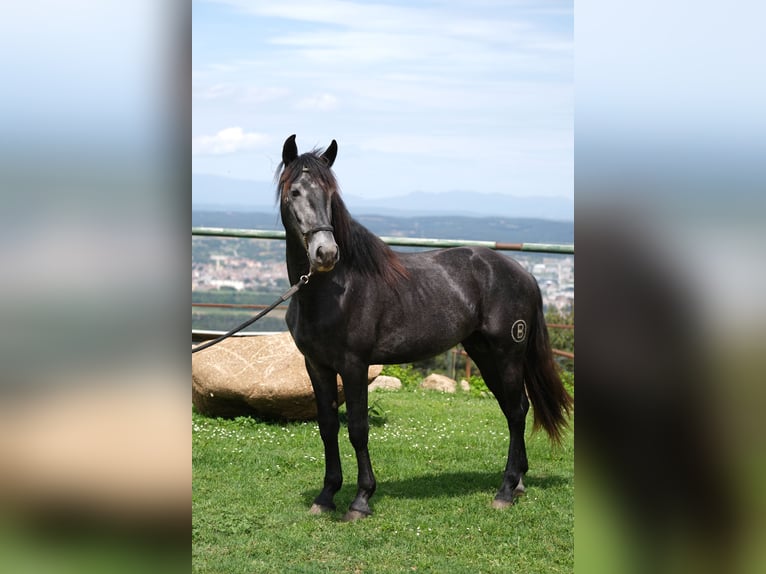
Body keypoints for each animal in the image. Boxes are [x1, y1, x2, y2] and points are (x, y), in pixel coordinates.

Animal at [280, 134, 572, 520]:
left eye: (331, 195)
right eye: (295, 191)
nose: (325, 253)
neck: (332, 291)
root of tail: (524, 274)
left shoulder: (354, 365)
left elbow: (357, 428)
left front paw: (361, 500)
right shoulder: (316, 366)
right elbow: (328, 427)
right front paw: (326, 496)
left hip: (508, 353)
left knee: (517, 410)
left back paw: (506, 490)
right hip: (483, 353)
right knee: (514, 408)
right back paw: (519, 482)